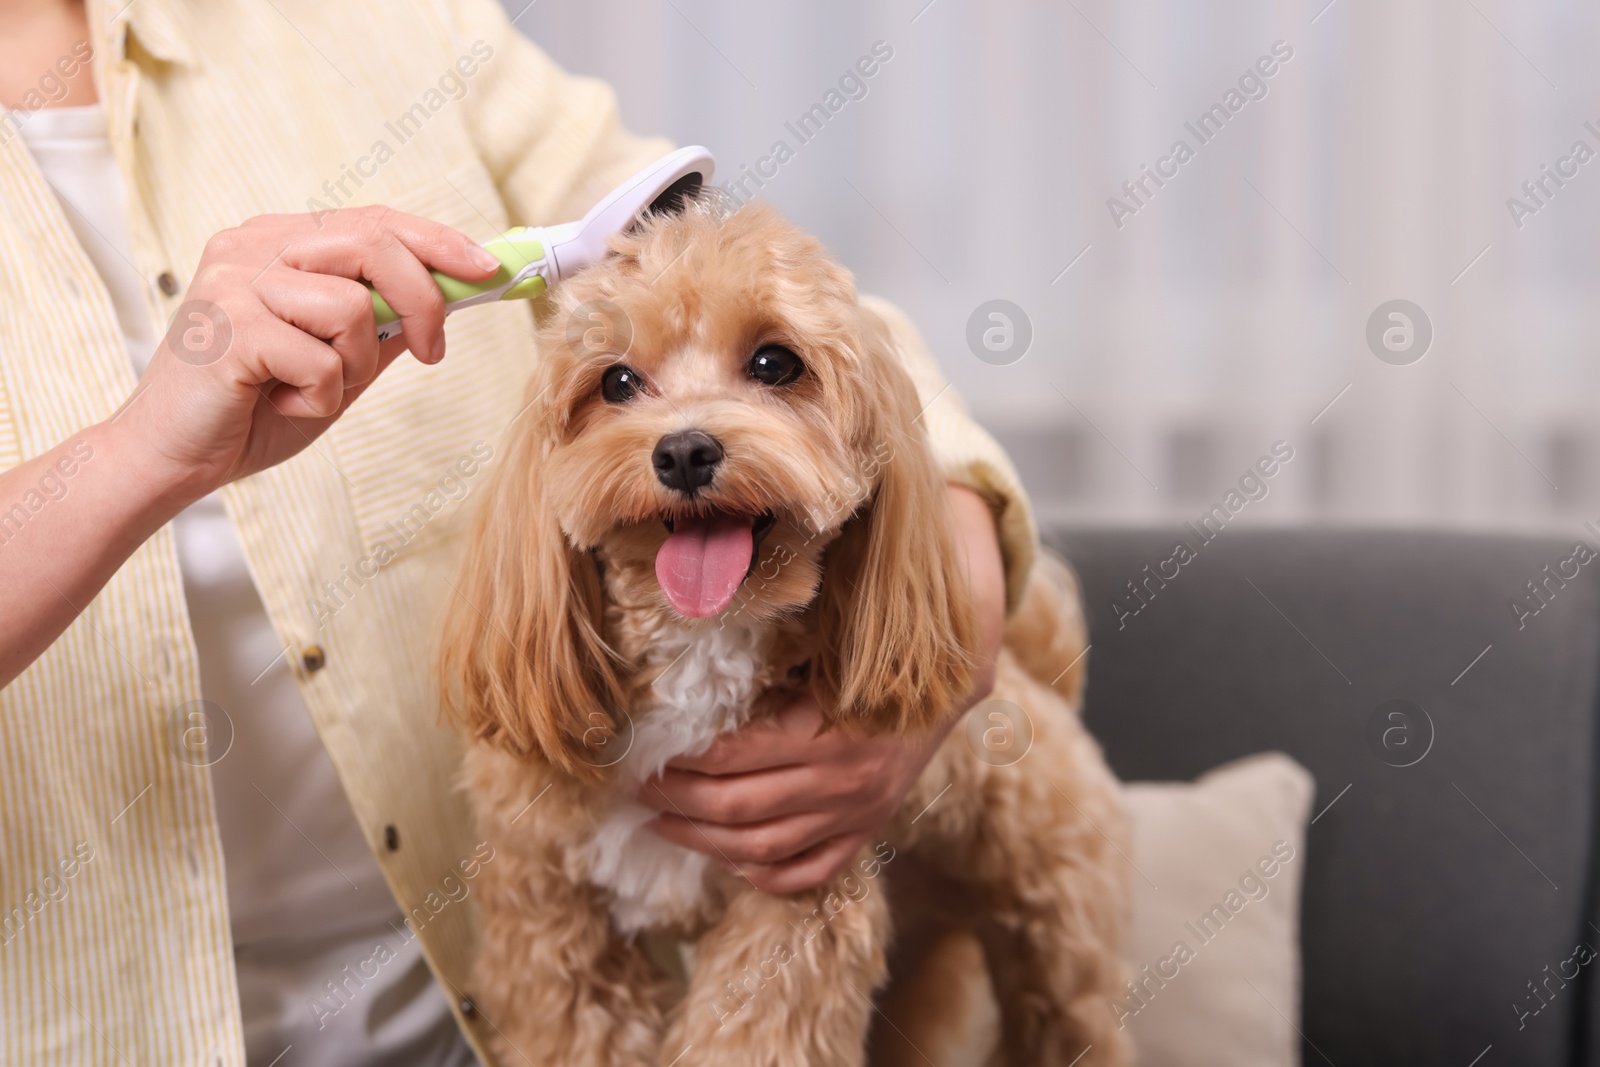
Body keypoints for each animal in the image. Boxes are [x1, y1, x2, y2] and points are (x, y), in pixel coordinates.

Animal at [438, 195, 1132, 1062]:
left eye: (775, 363)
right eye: (617, 381)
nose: (685, 450)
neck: (697, 649)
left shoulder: (795, 910)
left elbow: (752, 1028)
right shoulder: (548, 916)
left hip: (1059, 933)